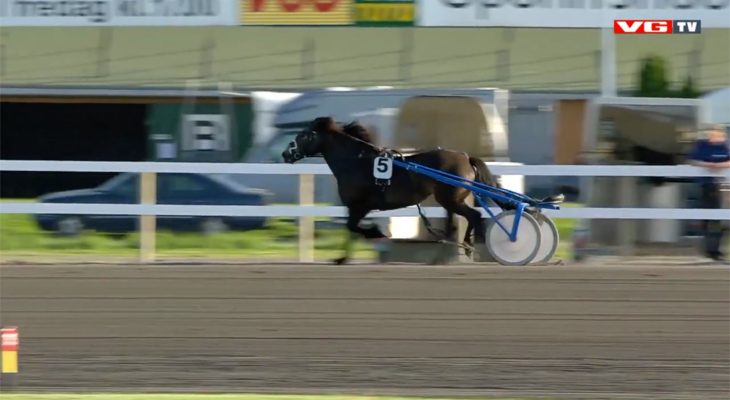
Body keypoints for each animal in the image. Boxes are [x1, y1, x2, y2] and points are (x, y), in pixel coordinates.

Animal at [281, 116, 512, 264]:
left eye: (303, 135)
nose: (285, 154)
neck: (356, 162)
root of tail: (464, 157)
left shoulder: (360, 206)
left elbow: (352, 227)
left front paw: (375, 232)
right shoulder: (355, 207)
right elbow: (351, 230)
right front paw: (342, 258)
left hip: (450, 199)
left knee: (474, 216)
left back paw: (475, 247)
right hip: (449, 200)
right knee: (458, 224)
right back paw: (452, 252)